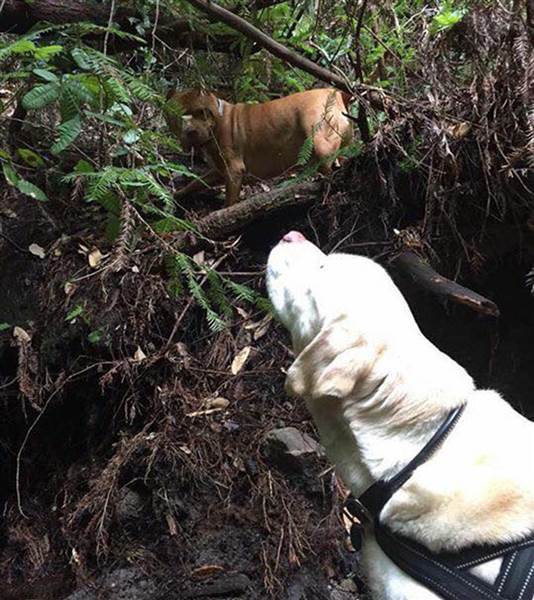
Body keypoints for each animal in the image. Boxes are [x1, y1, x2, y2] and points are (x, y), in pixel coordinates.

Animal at [165, 87, 354, 206]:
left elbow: (229, 202)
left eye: (202, 112)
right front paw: (176, 195)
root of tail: (335, 93)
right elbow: (195, 183)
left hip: (319, 141)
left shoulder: (234, 171)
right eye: (177, 115)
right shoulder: (218, 171)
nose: (191, 131)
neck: (217, 120)